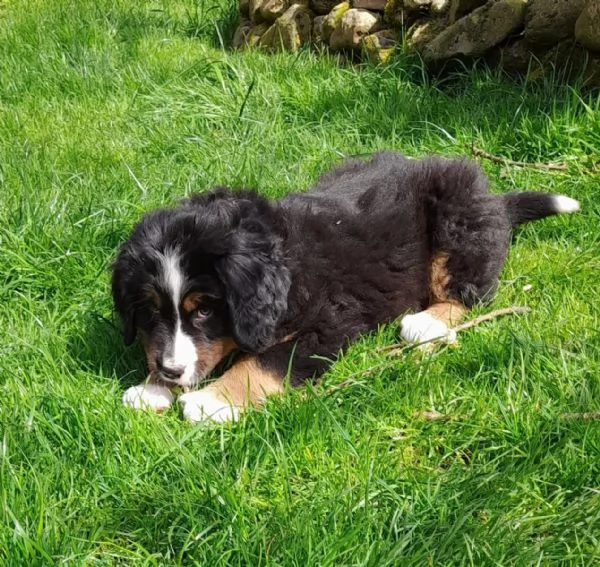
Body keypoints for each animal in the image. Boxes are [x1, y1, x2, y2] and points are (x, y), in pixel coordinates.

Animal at [110, 151, 580, 422]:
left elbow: (266, 361)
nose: (170, 371)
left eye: (205, 309)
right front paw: (153, 388)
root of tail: (495, 203)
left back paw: (426, 323)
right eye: (150, 312)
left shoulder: (331, 320)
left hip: (456, 216)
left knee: (469, 290)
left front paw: (213, 401)